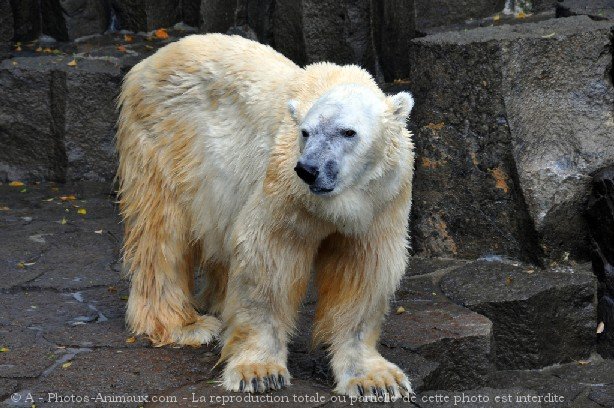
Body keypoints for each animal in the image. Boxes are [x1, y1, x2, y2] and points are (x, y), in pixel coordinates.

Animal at [116, 34, 414, 398]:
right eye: (305, 132)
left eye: (348, 132)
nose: (308, 169)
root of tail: (146, 63)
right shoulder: (285, 188)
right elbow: (269, 257)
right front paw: (259, 371)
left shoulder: (382, 200)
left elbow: (362, 271)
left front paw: (376, 379)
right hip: (168, 139)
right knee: (163, 230)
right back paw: (184, 325)